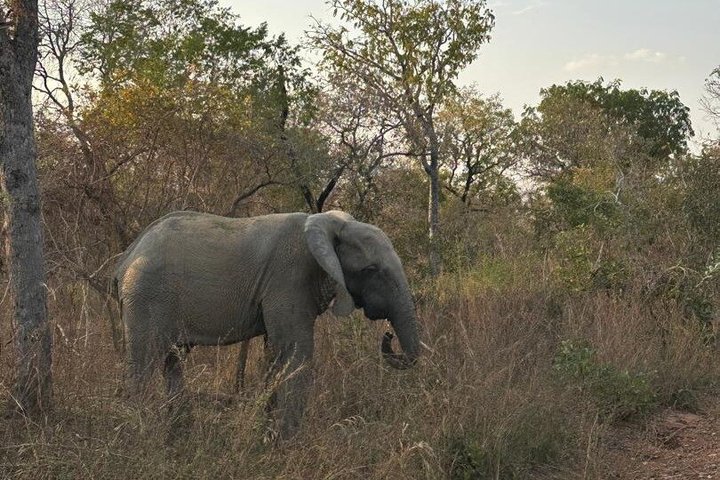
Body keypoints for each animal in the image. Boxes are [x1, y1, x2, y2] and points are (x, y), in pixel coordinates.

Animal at [112, 210, 420, 437]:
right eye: (371, 270)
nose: (388, 335)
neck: (331, 223)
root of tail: (126, 256)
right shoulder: (288, 280)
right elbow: (296, 352)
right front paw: (288, 443)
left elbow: (275, 354)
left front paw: (267, 436)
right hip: (146, 296)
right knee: (144, 362)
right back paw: (139, 437)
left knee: (172, 361)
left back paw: (177, 437)